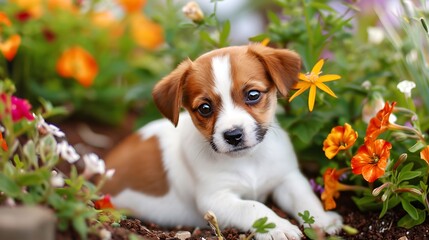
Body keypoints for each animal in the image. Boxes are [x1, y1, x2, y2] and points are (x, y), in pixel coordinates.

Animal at [103, 45, 342, 240]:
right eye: (204, 108)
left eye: (253, 95)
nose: (233, 135)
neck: (249, 160)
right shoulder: (215, 199)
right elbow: (253, 207)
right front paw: (277, 227)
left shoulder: (287, 177)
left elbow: (305, 198)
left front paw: (323, 219)